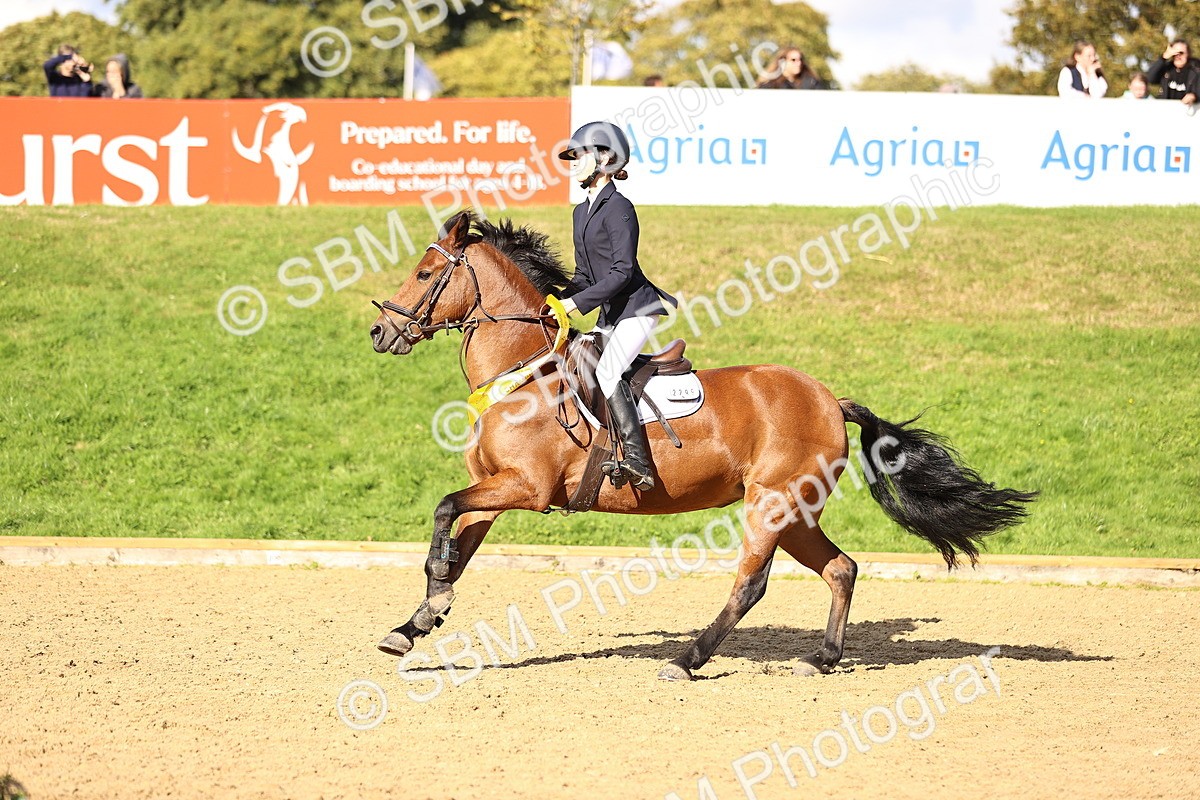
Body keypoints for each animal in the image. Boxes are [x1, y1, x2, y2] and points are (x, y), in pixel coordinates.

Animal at [368, 211, 1035, 680]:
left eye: (425, 274)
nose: (380, 330)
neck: (522, 374)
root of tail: (829, 398)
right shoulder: (496, 489)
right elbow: (458, 541)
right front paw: (418, 619)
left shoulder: (526, 488)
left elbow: (444, 511)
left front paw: (431, 601)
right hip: (795, 510)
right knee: (841, 568)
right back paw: (821, 658)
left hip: (770, 504)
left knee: (752, 584)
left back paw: (688, 659)